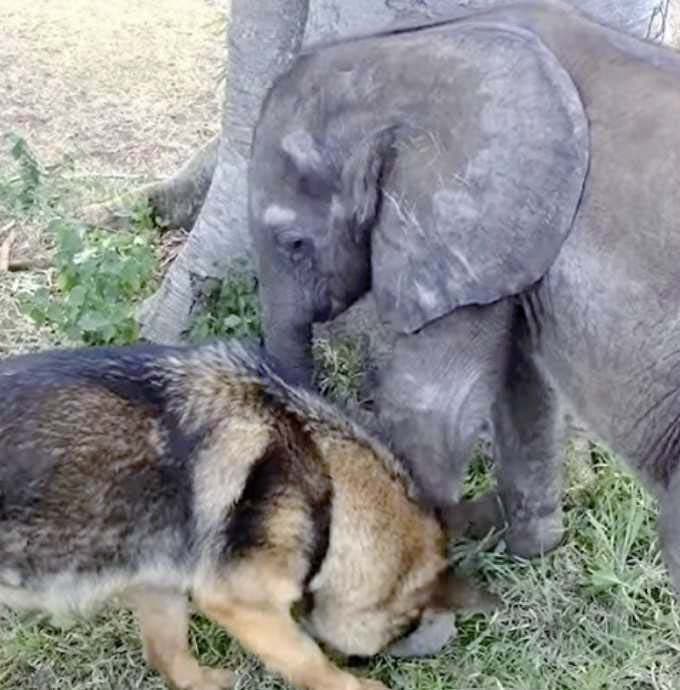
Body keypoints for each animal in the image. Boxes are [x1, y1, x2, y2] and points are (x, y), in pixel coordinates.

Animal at [0, 342, 494, 688]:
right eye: (404, 627)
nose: (369, 658)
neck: (329, 488)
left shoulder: (159, 584)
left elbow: (170, 654)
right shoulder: (242, 603)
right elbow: (309, 663)